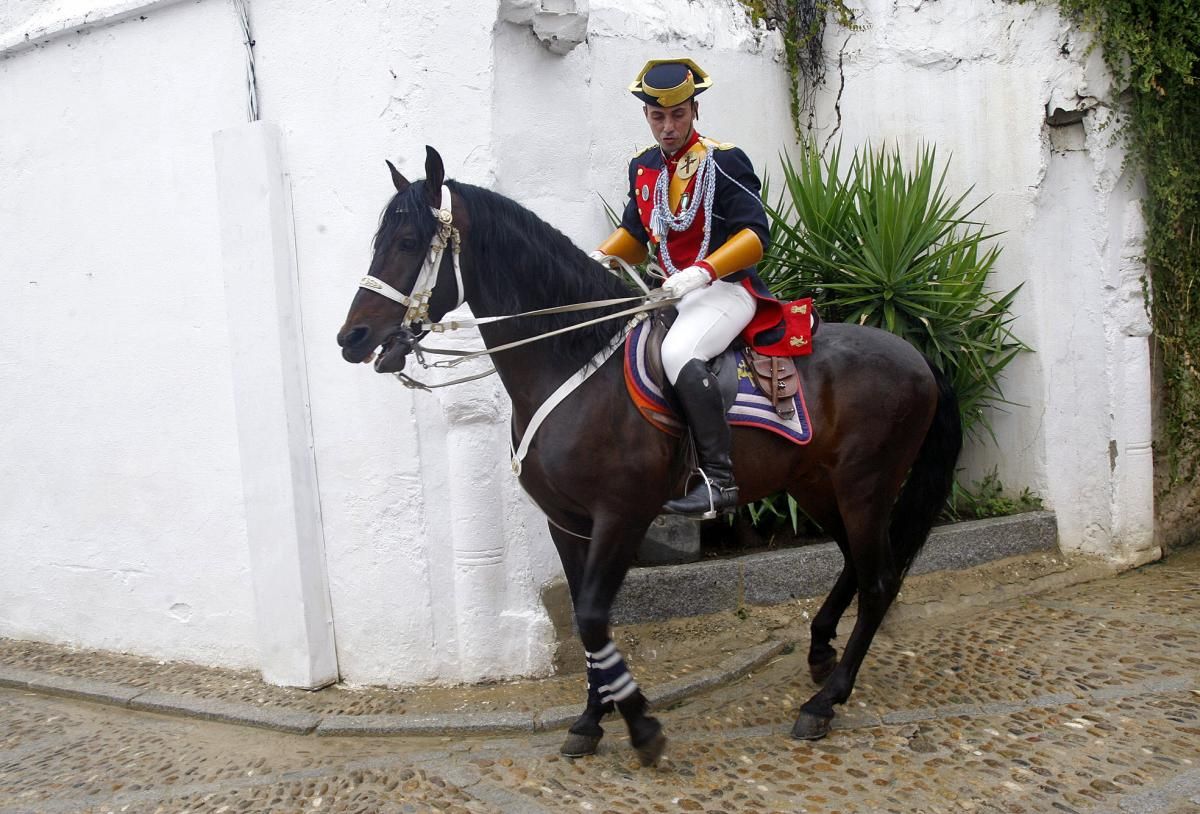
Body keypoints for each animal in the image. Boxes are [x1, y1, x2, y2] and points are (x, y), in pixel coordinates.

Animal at [338, 148, 964, 773]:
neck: (571, 361)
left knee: (880, 581)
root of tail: (914, 355)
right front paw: (591, 720)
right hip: (816, 484)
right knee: (857, 566)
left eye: (408, 240)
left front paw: (641, 726)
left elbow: (593, 617)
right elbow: (586, 621)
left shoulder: (623, 514)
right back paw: (818, 652)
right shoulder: (567, 523)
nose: (353, 337)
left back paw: (824, 701)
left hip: (865, 487)